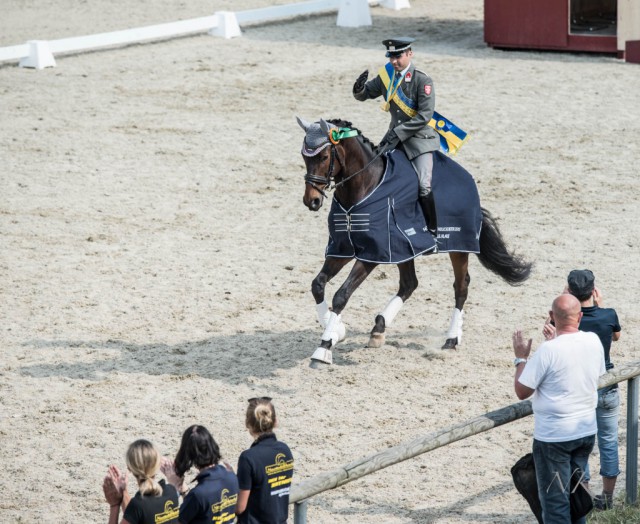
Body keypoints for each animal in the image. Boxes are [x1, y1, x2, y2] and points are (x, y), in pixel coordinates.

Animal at [298, 116, 532, 366]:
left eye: (324, 157)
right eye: (304, 156)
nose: (311, 201)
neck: (363, 187)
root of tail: (468, 179)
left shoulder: (373, 254)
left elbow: (341, 295)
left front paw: (324, 347)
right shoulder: (342, 249)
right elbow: (317, 284)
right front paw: (337, 330)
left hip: (458, 247)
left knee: (461, 286)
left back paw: (451, 339)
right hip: (404, 249)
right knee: (409, 284)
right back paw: (379, 329)